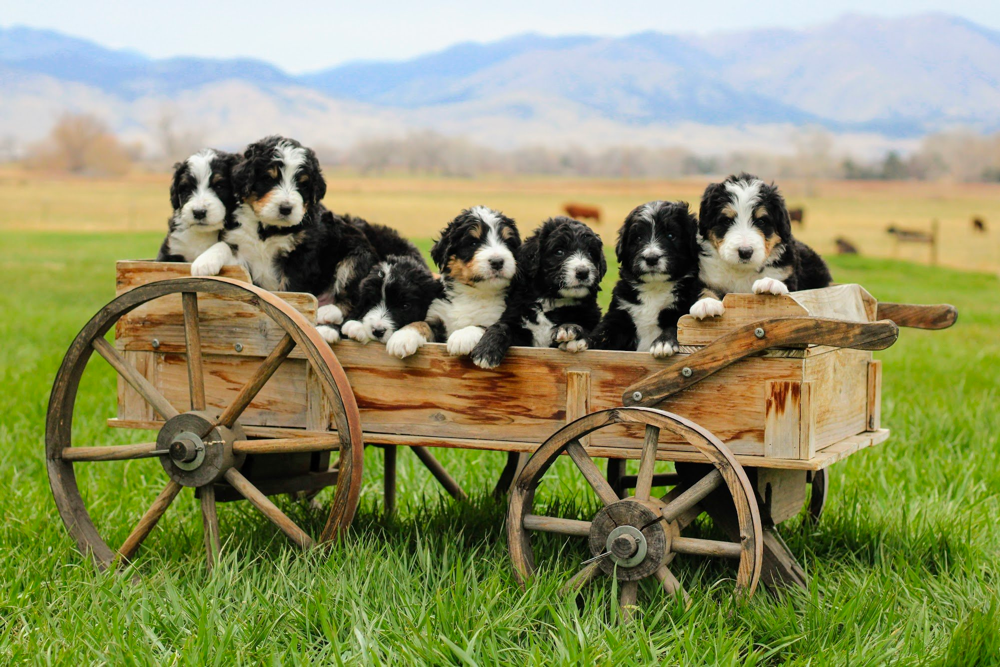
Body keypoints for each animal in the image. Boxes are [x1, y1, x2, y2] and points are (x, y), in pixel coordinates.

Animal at [382, 206, 520, 360]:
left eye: (508, 243)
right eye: (473, 243)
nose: (497, 262)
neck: (473, 294)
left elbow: (483, 326)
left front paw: (462, 336)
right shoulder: (437, 318)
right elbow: (421, 323)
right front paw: (402, 337)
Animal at [466, 215, 600, 368]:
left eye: (591, 253)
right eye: (559, 251)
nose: (583, 272)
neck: (551, 302)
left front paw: (569, 329)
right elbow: (502, 326)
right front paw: (487, 350)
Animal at [584, 201, 696, 358]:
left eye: (671, 235)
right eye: (638, 238)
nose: (651, 258)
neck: (654, 288)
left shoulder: (684, 310)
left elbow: (676, 327)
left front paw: (663, 343)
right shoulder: (619, 314)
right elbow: (603, 331)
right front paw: (582, 341)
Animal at [692, 172, 832, 318]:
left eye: (761, 221)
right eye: (726, 221)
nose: (745, 252)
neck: (742, 271)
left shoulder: (787, 273)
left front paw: (769, 283)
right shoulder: (705, 277)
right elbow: (704, 290)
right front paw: (707, 303)